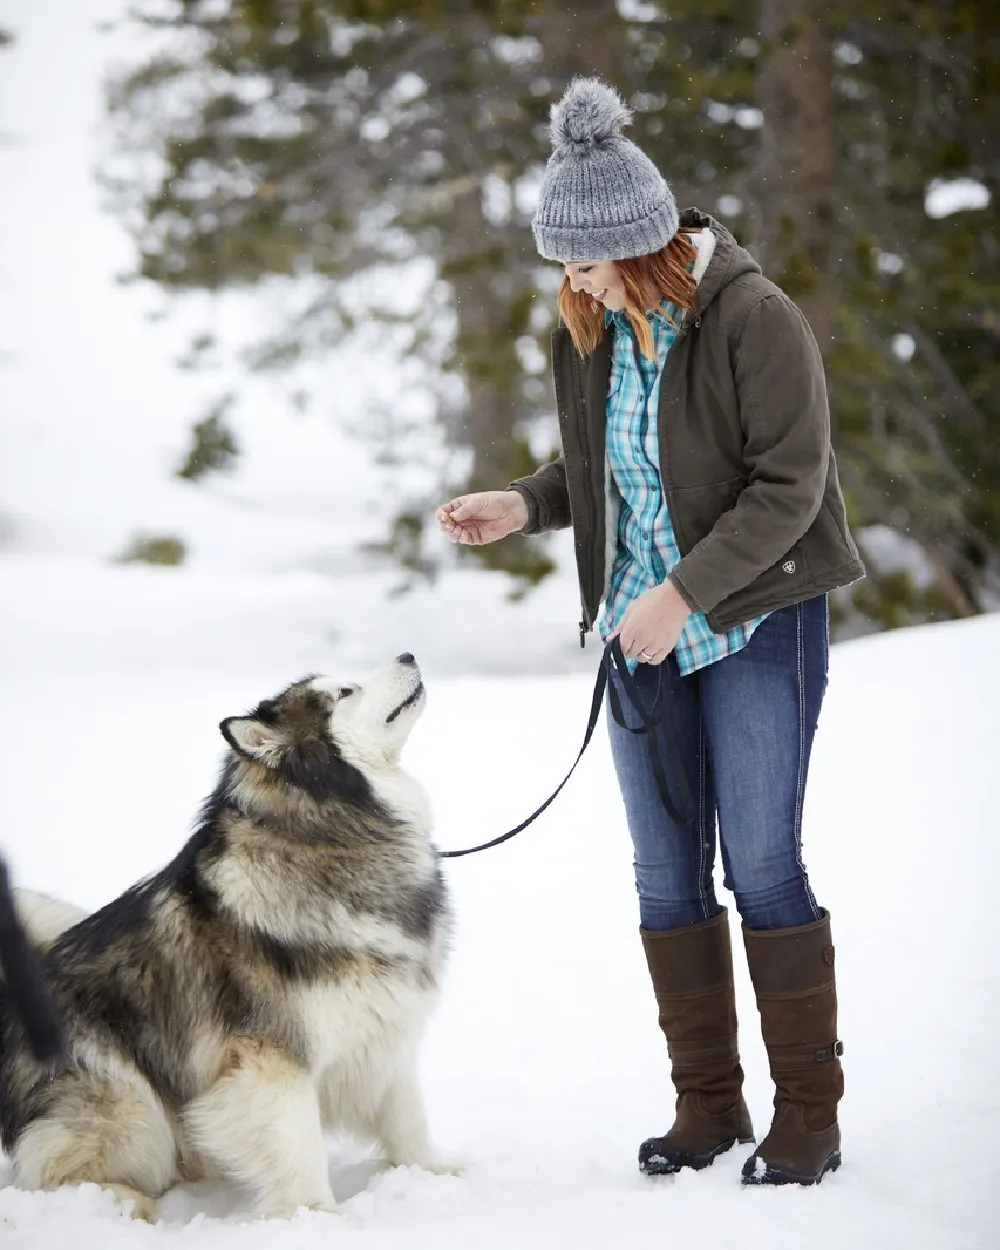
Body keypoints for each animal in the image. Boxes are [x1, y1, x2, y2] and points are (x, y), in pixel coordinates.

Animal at [0, 655, 450, 1220]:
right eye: (346, 693)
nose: (408, 656)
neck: (329, 832)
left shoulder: (384, 1030)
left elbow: (406, 1119)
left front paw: (435, 1175)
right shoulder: (272, 1060)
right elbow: (299, 1146)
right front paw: (316, 1217)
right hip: (129, 1108)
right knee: (50, 1174)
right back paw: (126, 1204)